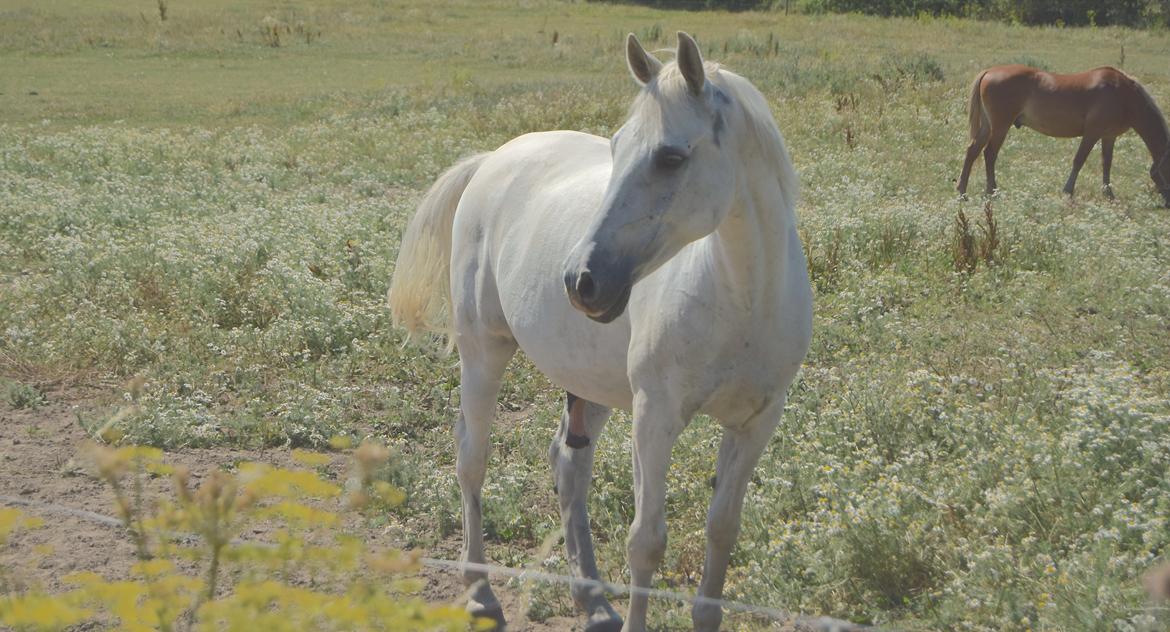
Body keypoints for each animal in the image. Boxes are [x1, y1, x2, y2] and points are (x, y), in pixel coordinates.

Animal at [388, 33, 809, 632]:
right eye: (615, 147)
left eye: (671, 157)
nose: (581, 280)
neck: (744, 299)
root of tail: (493, 160)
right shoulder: (655, 417)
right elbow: (646, 542)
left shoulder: (756, 423)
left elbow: (722, 529)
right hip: (483, 352)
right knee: (472, 456)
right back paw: (480, 591)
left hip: (595, 383)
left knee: (569, 465)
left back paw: (591, 597)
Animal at [959, 65, 1170, 205]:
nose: (1167, 203)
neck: (1122, 94)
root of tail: (989, 72)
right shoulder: (1092, 133)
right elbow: (1079, 160)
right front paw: (1068, 191)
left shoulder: (1109, 136)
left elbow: (1106, 164)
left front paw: (1109, 194)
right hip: (1000, 126)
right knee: (989, 154)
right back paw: (992, 191)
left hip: (988, 126)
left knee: (972, 151)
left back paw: (962, 192)